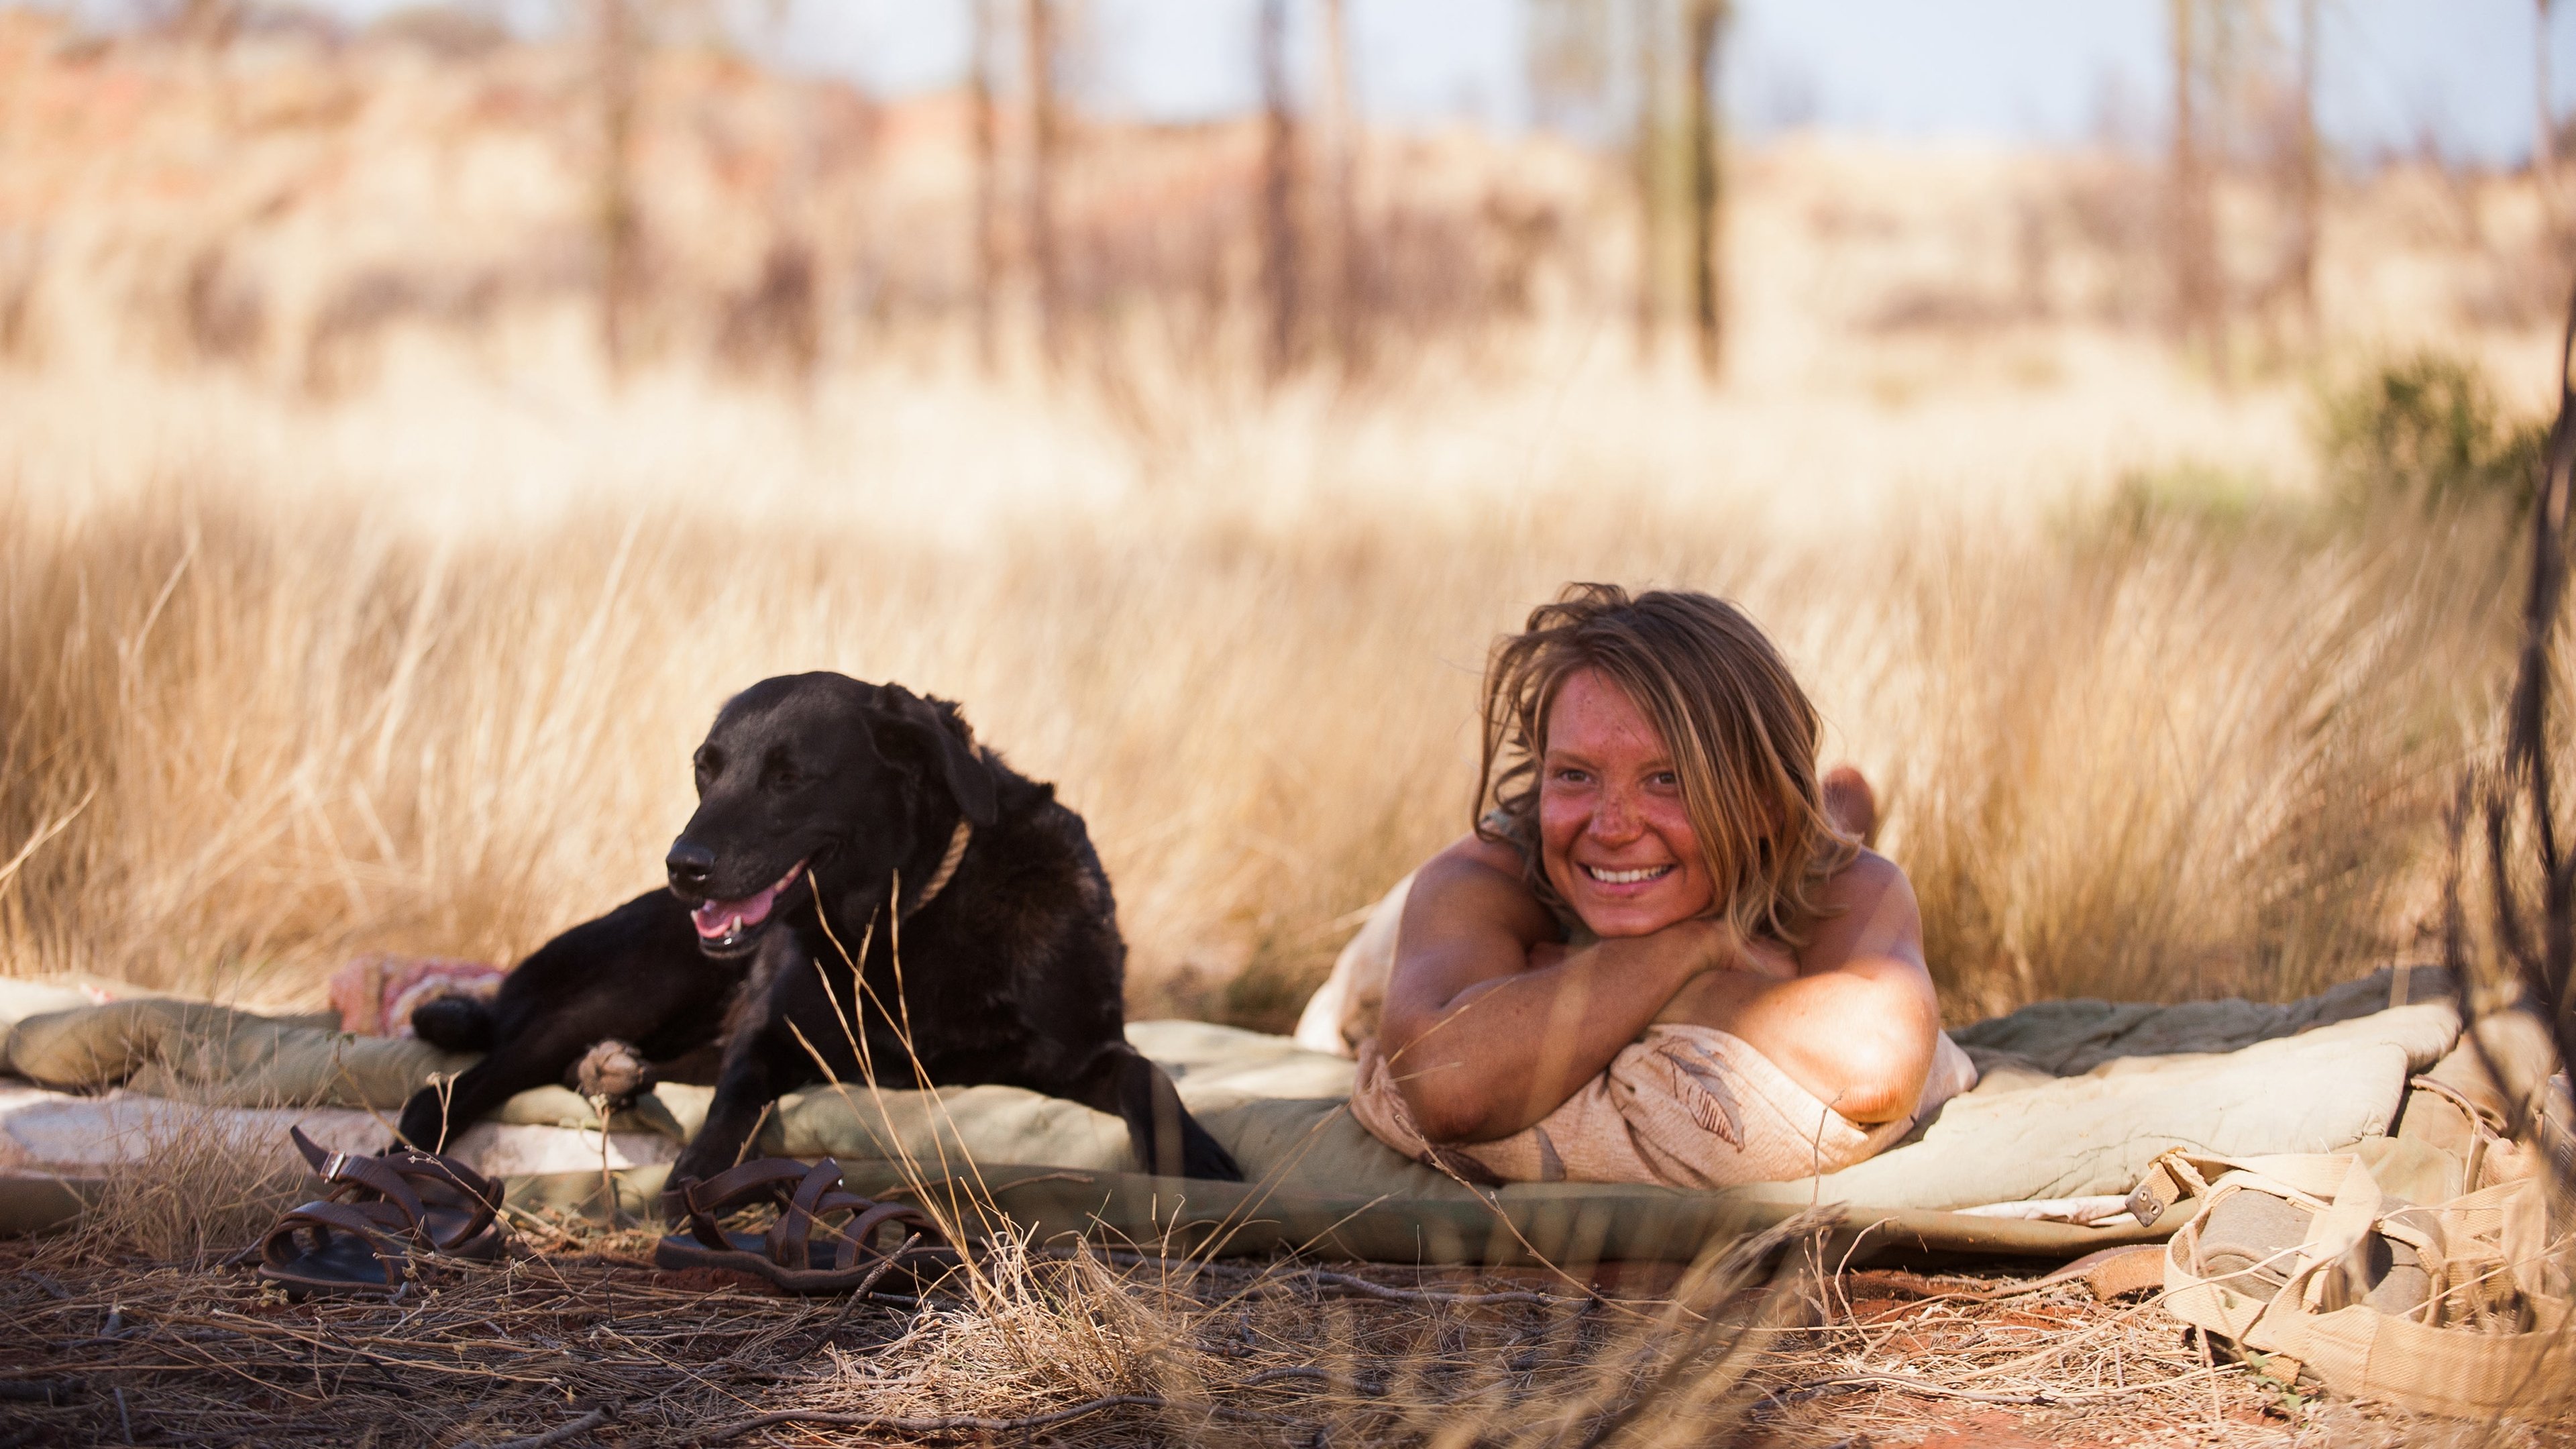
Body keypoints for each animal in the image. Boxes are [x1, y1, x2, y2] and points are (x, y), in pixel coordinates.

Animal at [396, 670, 1241, 1181]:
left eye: (788, 776)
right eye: (705, 768)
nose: (683, 865)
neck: (898, 920)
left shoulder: (1079, 1053)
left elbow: (1148, 1074)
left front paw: (1199, 1156)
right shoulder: (771, 1036)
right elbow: (737, 1094)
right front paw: (698, 1173)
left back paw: (612, 1072)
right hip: (642, 980)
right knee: (466, 1080)